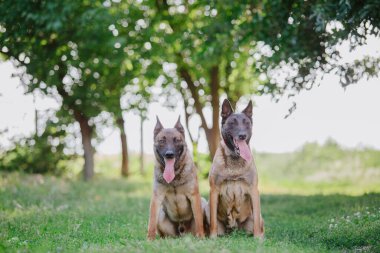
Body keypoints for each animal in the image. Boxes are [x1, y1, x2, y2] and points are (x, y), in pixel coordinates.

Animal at [206, 99, 266, 239]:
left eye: (247, 123)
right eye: (232, 123)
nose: (242, 136)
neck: (235, 158)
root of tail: (234, 230)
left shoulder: (254, 191)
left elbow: (256, 222)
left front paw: (258, 239)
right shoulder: (214, 191)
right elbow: (213, 222)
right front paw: (212, 238)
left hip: (259, 217)